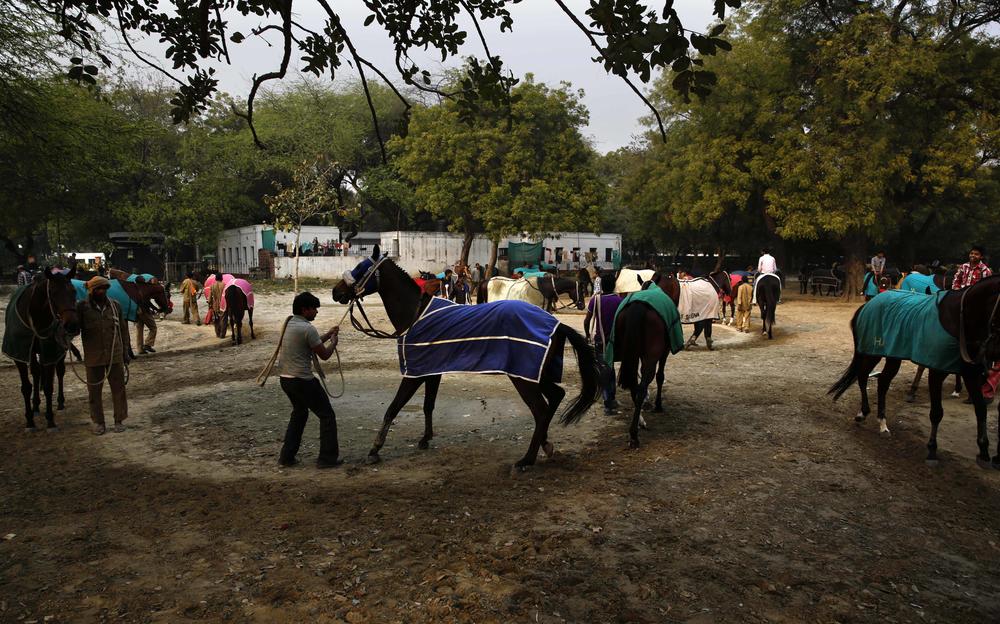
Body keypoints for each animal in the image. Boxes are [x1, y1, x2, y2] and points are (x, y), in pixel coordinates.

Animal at [2, 266, 80, 432]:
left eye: (74, 291)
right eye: (54, 293)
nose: (72, 325)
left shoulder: (50, 350)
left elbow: (49, 385)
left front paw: (50, 420)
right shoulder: (20, 353)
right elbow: (27, 386)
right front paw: (30, 420)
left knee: (59, 371)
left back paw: (60, 401)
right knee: (36, 372)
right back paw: (36, 406)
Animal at [332, 246, 596, 470]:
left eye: (361, 268)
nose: (337, 292)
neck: (416, 314)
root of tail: (556, 324)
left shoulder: (413, 374)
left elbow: (393, 408)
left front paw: (375, 449)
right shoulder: (431, 370)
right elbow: (428, 405)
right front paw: (425, 438)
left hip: (524, 377)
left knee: (541, 410)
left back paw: (527, 459)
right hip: (535, 373)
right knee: (556, 396)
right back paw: (545, 444)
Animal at [612, 272, 684, 448]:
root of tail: (638, 306)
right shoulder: (664, 352)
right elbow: (660, 377)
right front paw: (658, 405)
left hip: (629, 354)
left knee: (634, 385)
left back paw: (638, 423)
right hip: (652, 356)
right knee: (642, 387)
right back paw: (634, 435)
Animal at [832, 276, 1000, 466]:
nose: (994, 353)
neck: (958, 319)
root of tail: (868, 304)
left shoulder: (970, 373)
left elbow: (980, 408)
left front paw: (984, 451)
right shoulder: (936, 372)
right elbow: (936, 413)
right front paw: (932, 450)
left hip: (893, 355)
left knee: (883, 382)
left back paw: (883, 424)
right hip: (872, 352)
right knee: (862, 376)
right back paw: (863, 413)